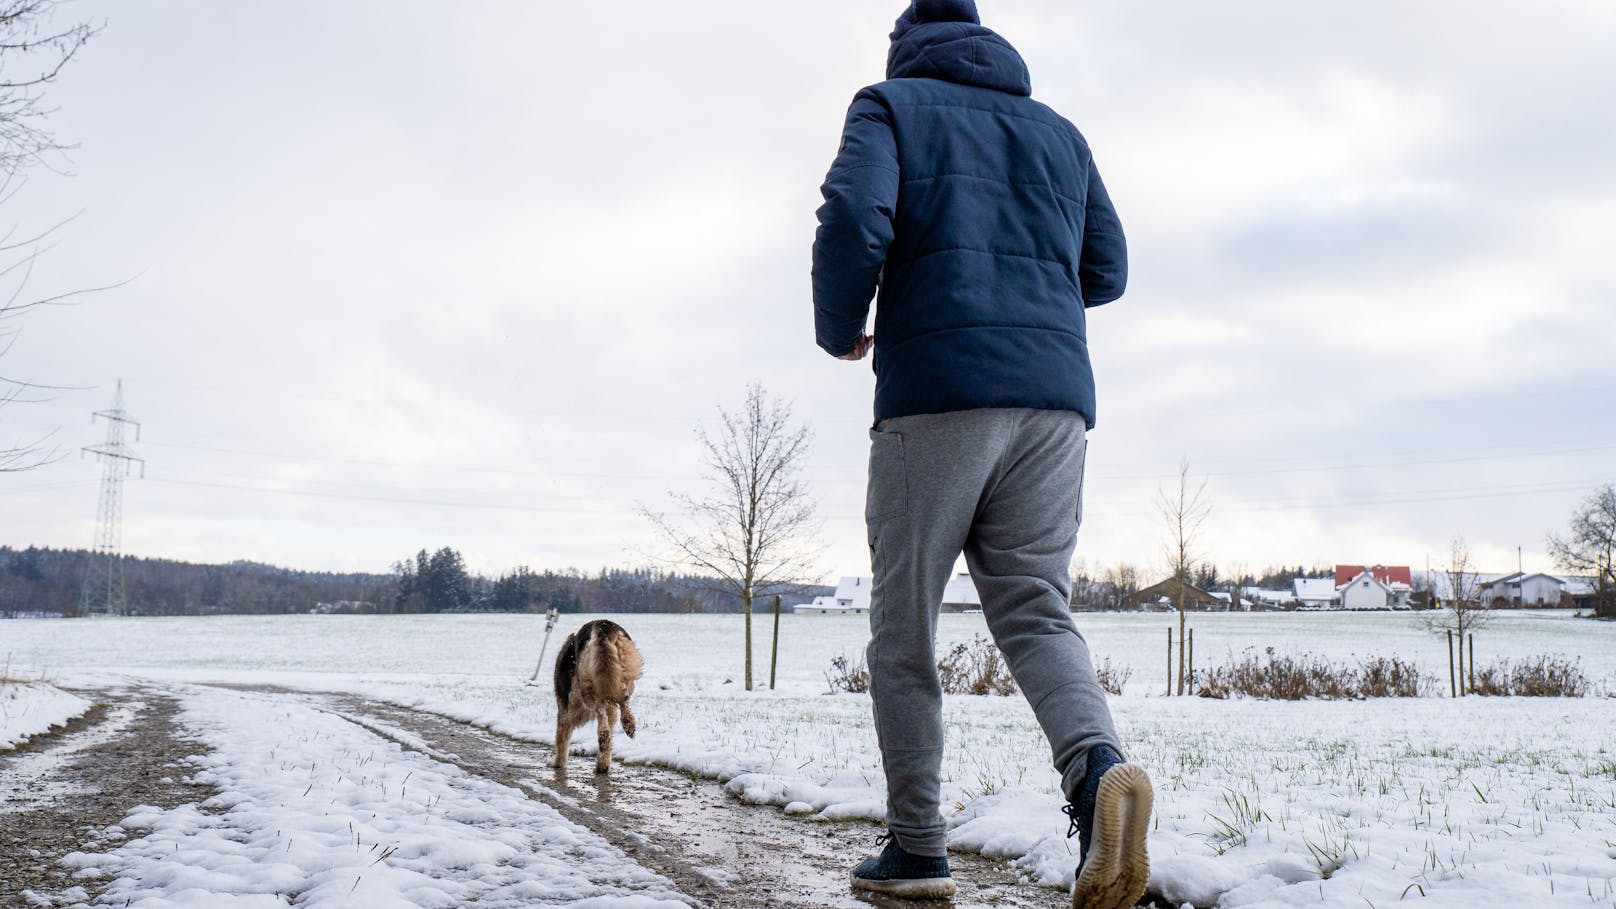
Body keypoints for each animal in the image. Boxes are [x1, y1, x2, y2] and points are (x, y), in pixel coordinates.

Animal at [549, 614, 636, 769]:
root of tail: (603, 625)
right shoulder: (611, 710)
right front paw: (603, 764)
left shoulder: (564, 710)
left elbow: (561, 740)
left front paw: (557, 763)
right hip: (625, 669)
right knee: (623, 699)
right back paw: (628, 723)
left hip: (587, 689)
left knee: (602, 720)